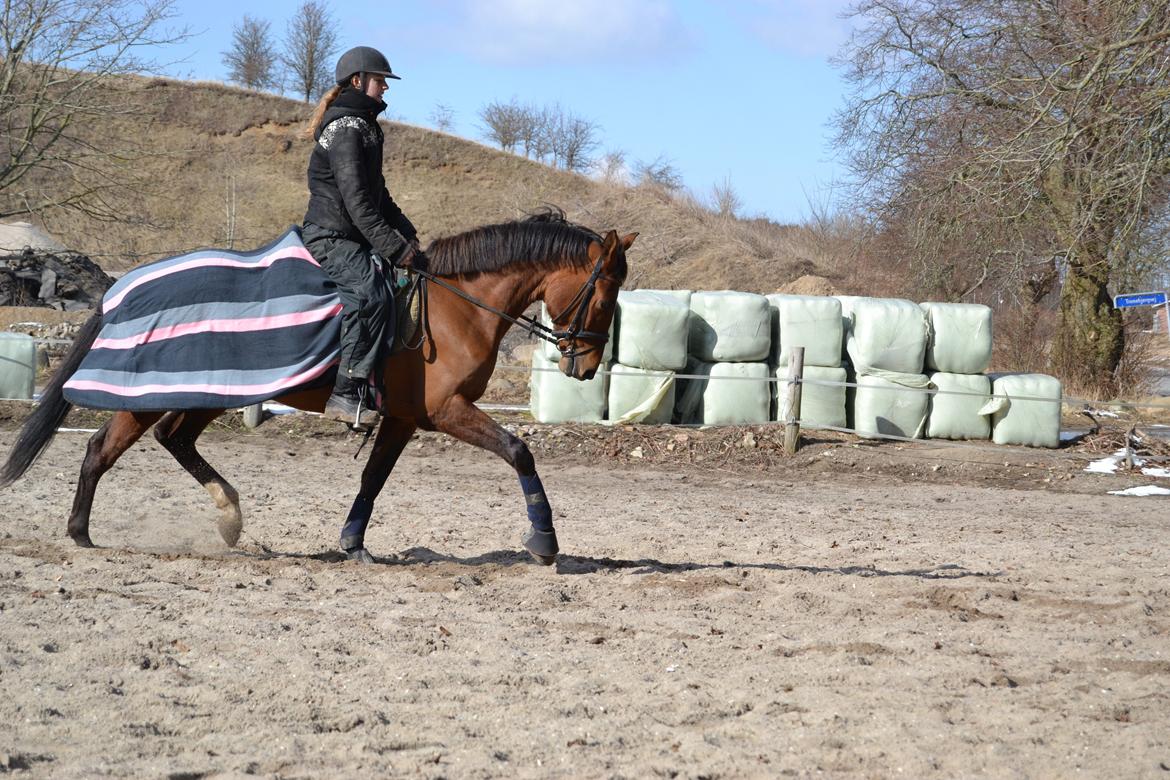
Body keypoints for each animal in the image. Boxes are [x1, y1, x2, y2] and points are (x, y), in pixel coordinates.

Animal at [2, 211, 641, 568]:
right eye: (606, 293)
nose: (586, 367)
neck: (457, 305)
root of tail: (124, 288)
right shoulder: (447, 411)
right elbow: (519, 451)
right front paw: (544, 542)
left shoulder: (404, 418)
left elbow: (372, 480)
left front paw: (353, 543)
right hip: (159, 392)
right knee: (102, 448)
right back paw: (81, 534)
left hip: (205, 393)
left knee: (173, 439)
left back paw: (227, 515)